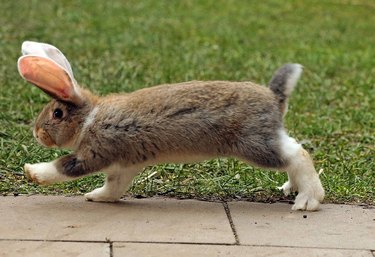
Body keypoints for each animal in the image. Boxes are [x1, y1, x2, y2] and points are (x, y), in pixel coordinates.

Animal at [17, 40, 324, 210]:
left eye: (57, 114)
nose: (37, 133)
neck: (89, 118)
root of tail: (274, 96)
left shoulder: (95, 153)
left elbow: (65, 167)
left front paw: (32, 172)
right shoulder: (124, 165)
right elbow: (114, 188)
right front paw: (95, 196)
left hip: (254, 144)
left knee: (298, 155)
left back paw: (308, 200)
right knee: (292, 151)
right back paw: (291, 189)